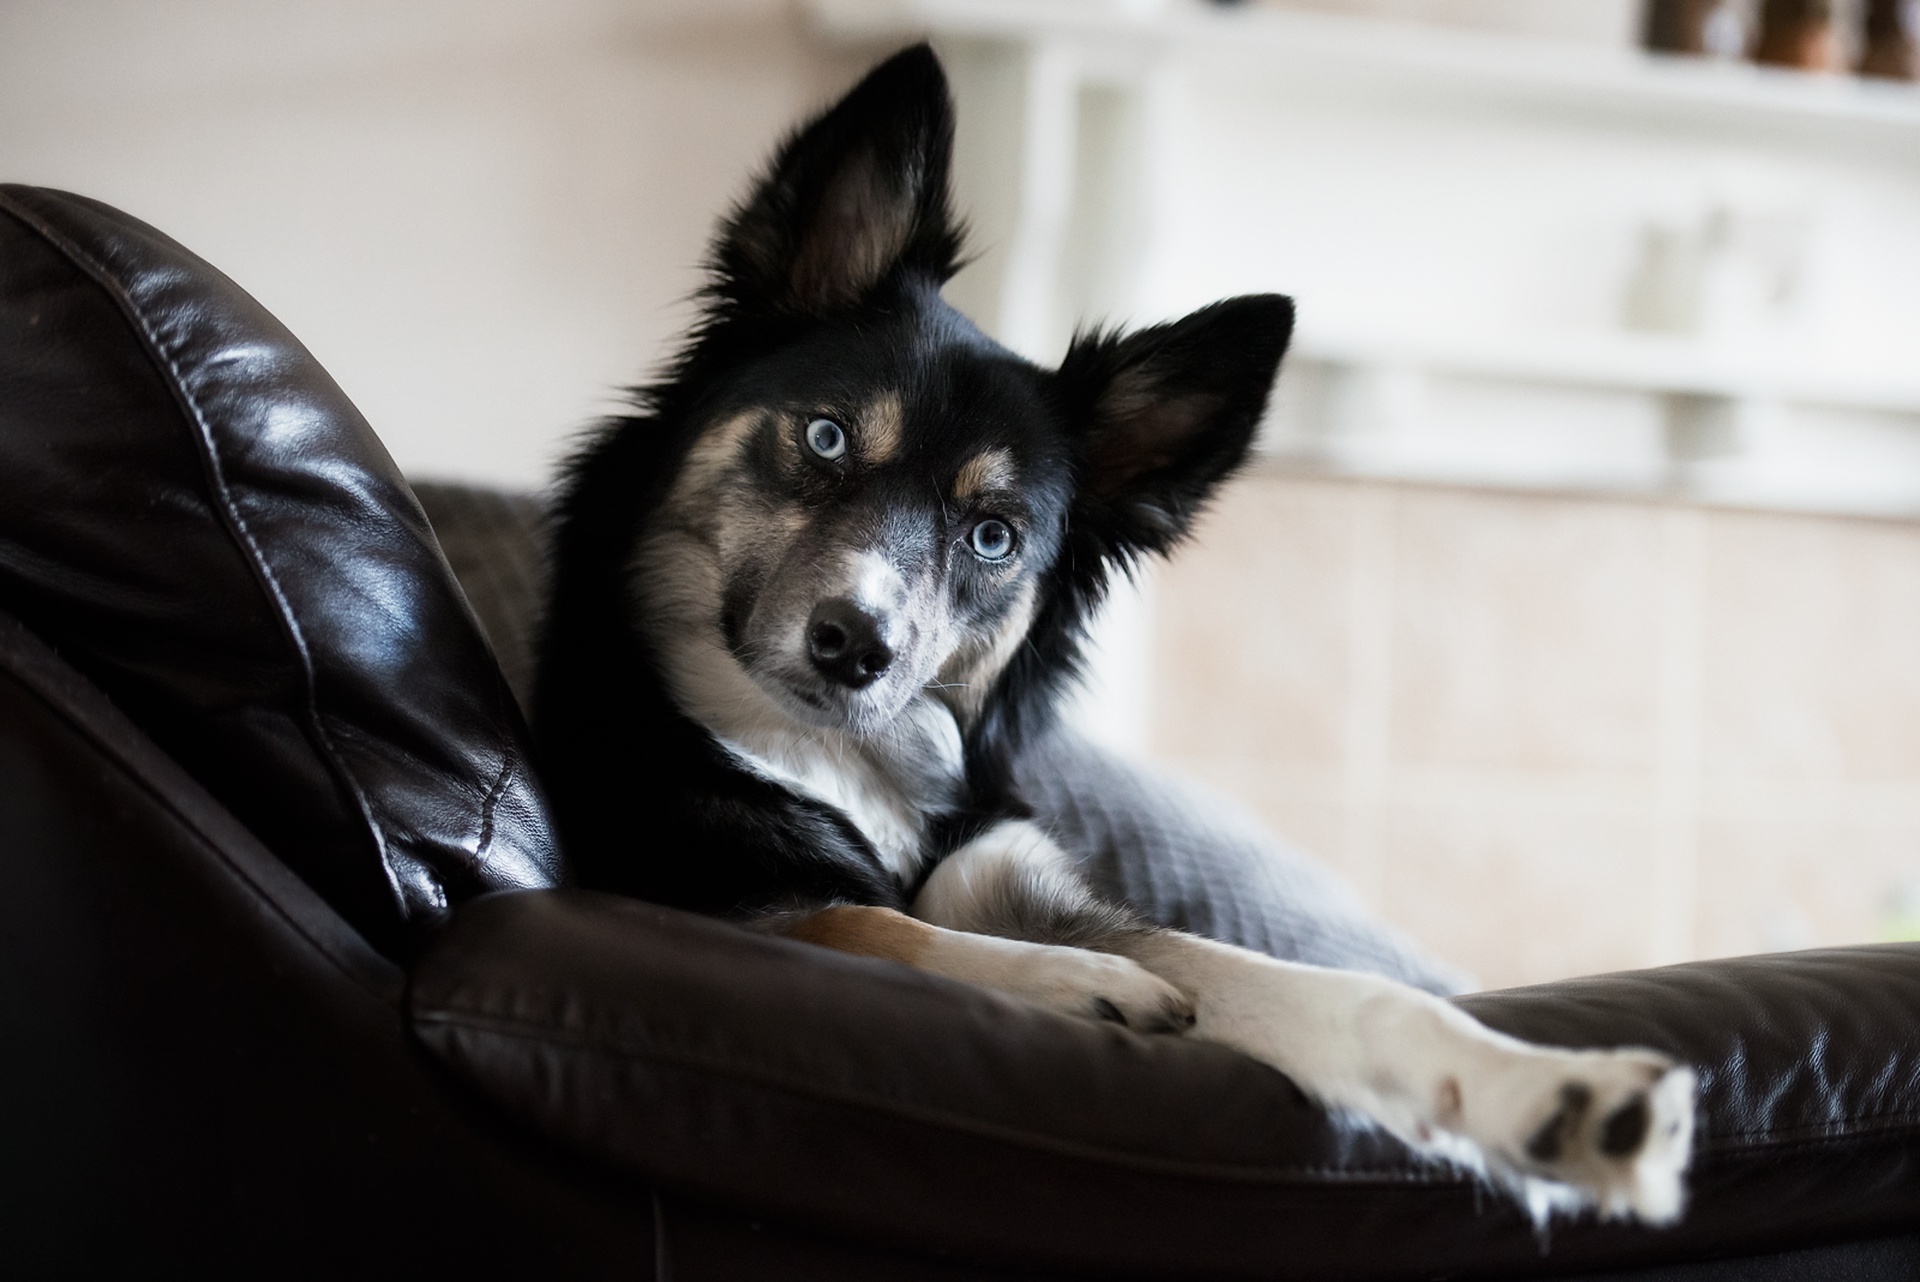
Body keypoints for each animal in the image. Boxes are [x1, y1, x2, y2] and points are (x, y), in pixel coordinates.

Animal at [529, 40, 1697, 1220]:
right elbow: (871, 922)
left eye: (993, 536)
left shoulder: (1013, 881)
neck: (842, 764)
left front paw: (1557, 1094)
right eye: (825, 437)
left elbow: (1323, 989)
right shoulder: (703, 896)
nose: (857, 646)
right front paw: (1075, 984)